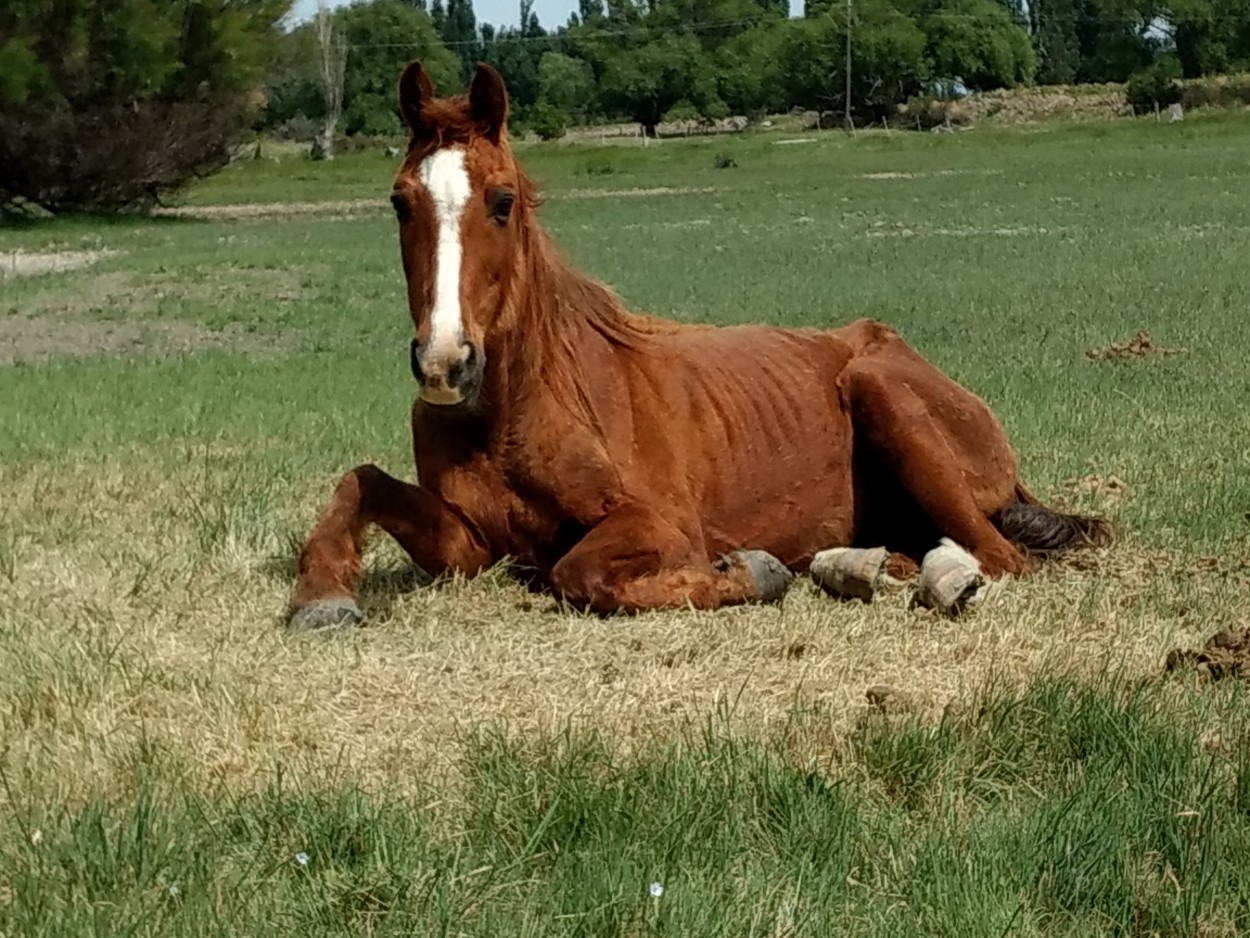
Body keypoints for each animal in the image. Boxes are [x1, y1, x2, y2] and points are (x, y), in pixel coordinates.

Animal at [286, 62, 1115, 635]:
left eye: (502, 201)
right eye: (400, 202)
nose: (445, 364)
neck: (512, 411)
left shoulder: (660, 526)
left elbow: (577, 573)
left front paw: (749, 572)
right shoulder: (471, 545)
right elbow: (360, 482)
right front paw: (320, 597)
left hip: (879, 390)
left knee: (998, 559)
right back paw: (861, 565)